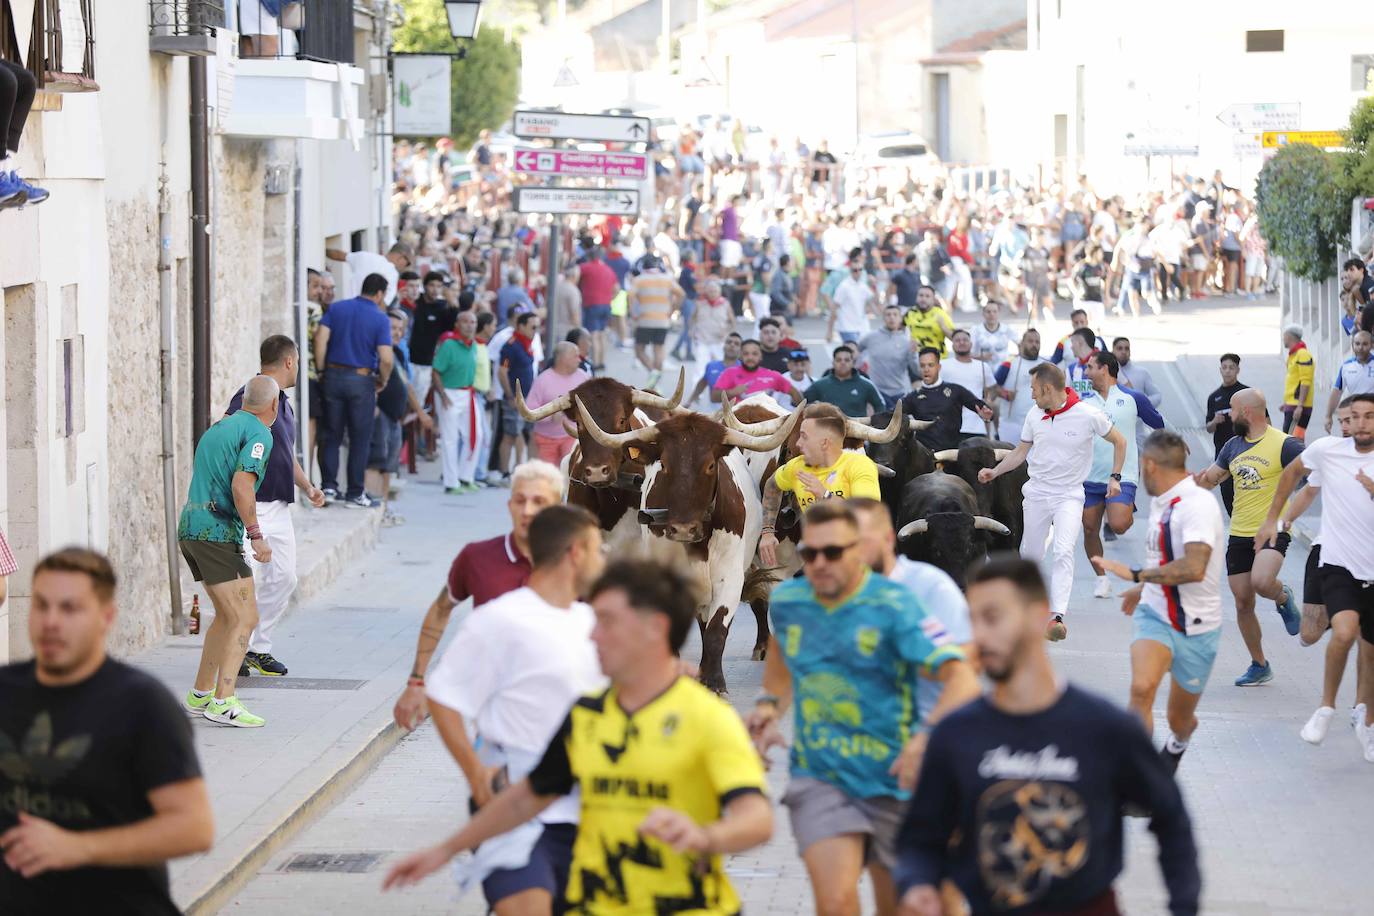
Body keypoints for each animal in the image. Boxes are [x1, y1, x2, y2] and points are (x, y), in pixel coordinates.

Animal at [571, 398, 802, 692]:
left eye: (710, 465)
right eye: (664, 464)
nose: (682, 528)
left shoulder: (730, 577)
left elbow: (716, 630)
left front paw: (715, 682)